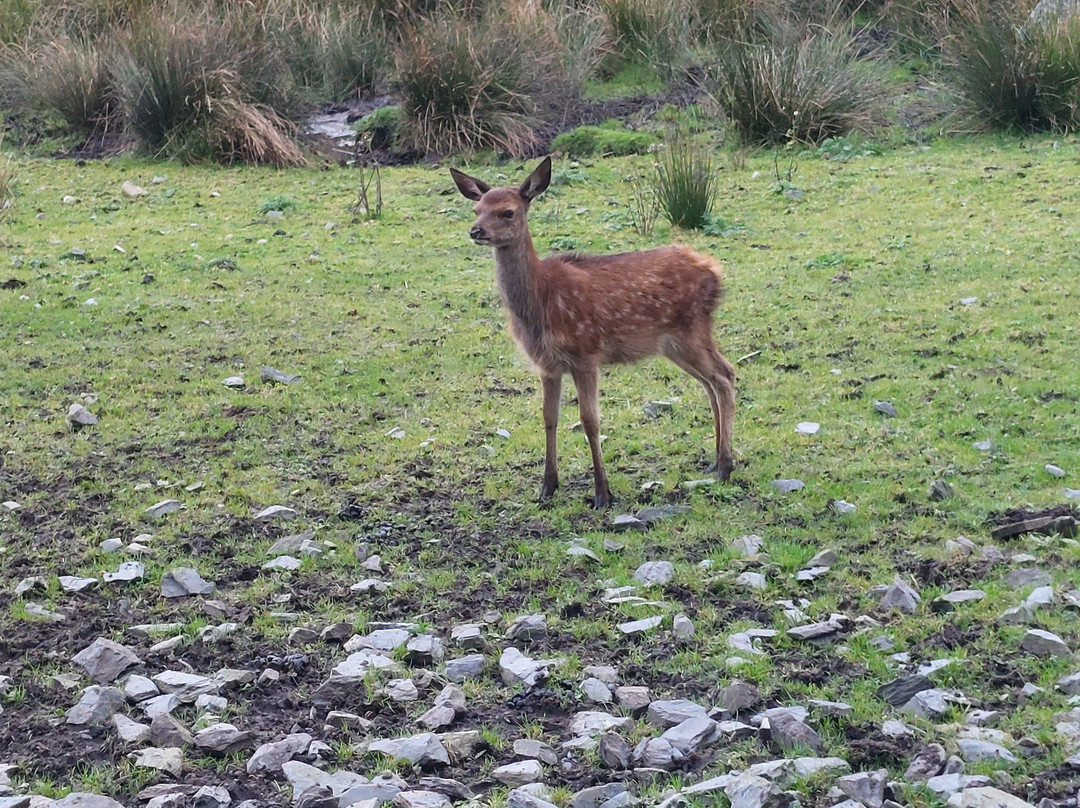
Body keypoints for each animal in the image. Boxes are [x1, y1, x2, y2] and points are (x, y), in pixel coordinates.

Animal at [450, 156, 735, 509]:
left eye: (508, 212)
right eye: (477, 208)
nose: (476, 230)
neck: (541, 301)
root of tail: (715, 271)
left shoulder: (586, 354)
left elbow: (589, 420)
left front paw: (602, 492)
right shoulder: (547, 365)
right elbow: (549, 417)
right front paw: (547, 488)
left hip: (691, 330)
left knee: (724, 376)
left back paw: (724, 466)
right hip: (675, 344)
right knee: (710, 382)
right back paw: (715, 459)